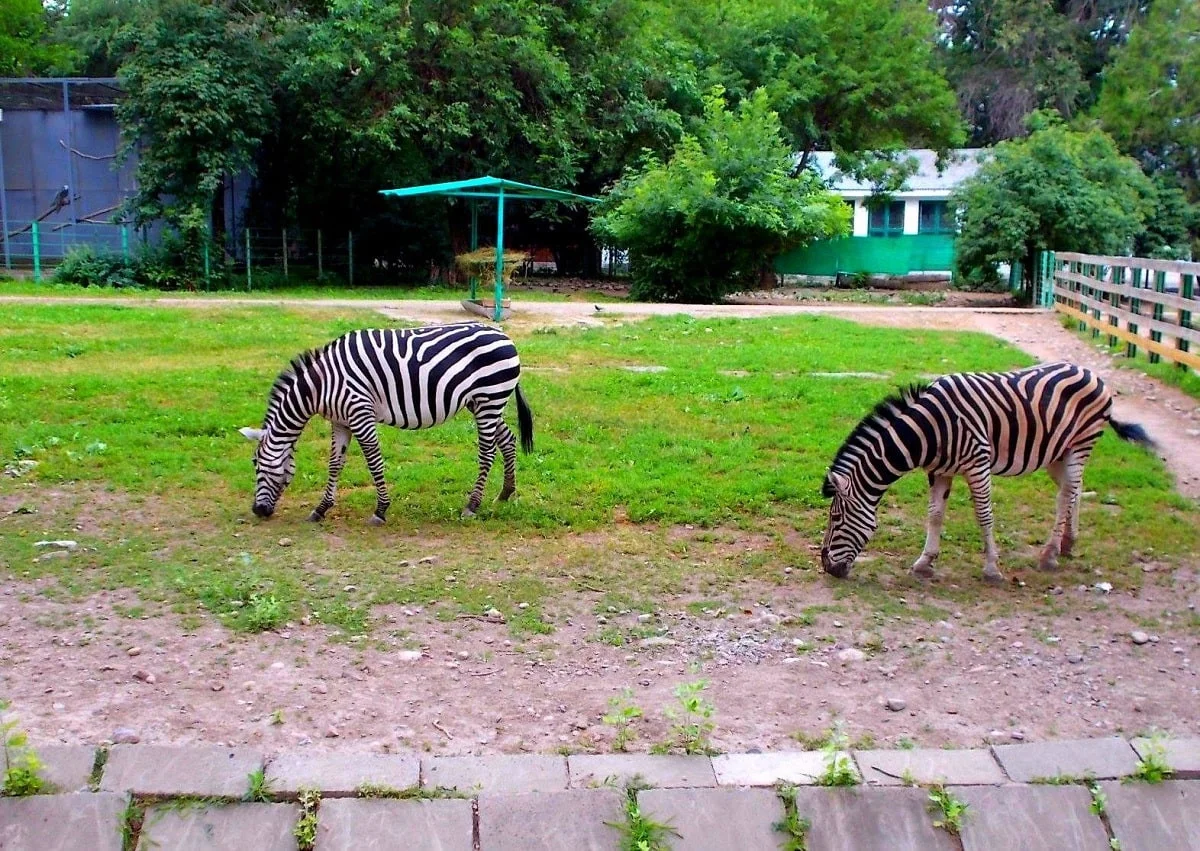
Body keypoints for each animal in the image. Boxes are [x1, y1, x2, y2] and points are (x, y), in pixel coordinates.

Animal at [236, 321, 532, 520]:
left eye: (255, 464)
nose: (257, 511)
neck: (321, 385)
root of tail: (504, 335)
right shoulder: (340, 421)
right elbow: (335, 464)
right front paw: (321, 509)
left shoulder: (360, 414)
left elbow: (374, 461)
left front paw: (381, 509)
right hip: (483, 403)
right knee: (507, 439)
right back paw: (505, 493)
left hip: (489, 399)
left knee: (487, 451)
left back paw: (472, 505)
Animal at [820, 357, 1156, 583]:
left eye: (835, 519)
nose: (827, 568)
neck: (929, 431)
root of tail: (1091, 373)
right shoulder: (940, 470)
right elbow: (934, 515)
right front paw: (924, 562)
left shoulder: (978, 464)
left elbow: (984, 516)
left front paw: (992, 568)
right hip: (1057, 452)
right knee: (1073, 489)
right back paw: (1068, 544)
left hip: (1081, 443)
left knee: (1065, 495)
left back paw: (1049, 555)